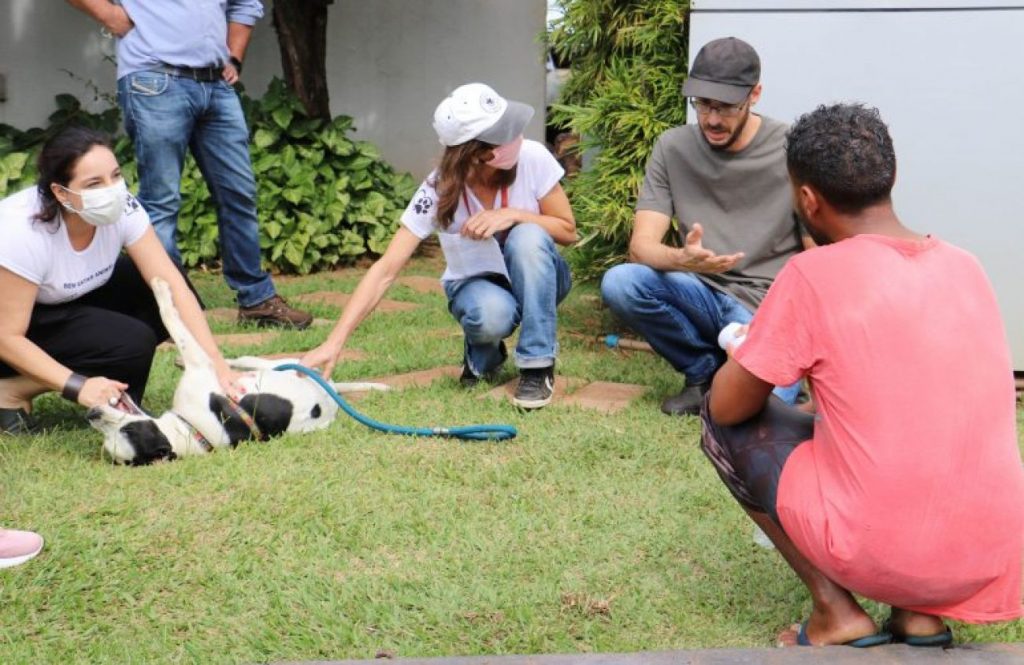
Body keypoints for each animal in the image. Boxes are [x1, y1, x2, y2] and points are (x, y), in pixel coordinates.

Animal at [86, 276, 385, 465]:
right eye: (109, 439)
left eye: (129, 430)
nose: (92, 414)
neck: (191, 430)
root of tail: (330, 389)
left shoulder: (200, 364)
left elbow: (171, 318)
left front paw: (160, 288)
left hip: (281, 363)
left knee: (244, 359)